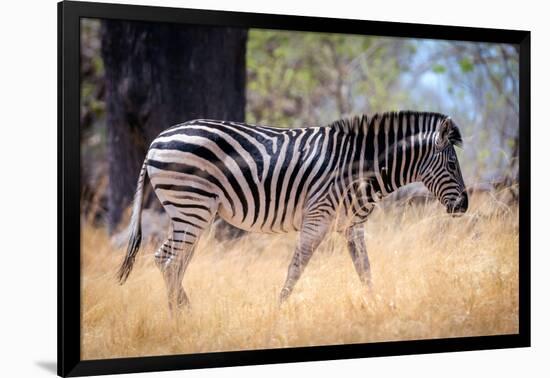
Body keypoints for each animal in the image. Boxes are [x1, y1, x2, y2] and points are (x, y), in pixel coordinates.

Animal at [117, 109, 470, 310]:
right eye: (453, 165)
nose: (465, 206)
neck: (360, 168)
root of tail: (156, 141)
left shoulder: (352, 225)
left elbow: (365, 270)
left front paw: (378, 307)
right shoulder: (318, 217)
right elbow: (296, 269)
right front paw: (279, 311)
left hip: (194, 212)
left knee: (176, 263)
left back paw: (184, 314)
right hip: (191, 206)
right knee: (166, 259)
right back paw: (182, 316)